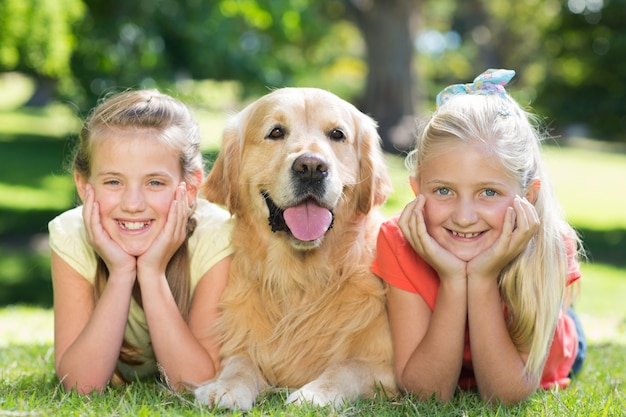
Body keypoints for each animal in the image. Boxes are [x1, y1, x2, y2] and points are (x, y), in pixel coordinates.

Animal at [194, 86, 394, 408]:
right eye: (276, 132)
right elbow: (240, 362)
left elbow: (347, 366)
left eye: (337, 134)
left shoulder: (388, 365)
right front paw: (225, 387)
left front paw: (315, 394)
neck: (300, 281)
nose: (311, 167)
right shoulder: (239, 342)